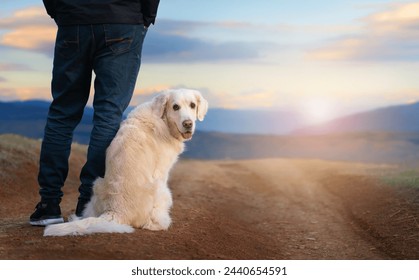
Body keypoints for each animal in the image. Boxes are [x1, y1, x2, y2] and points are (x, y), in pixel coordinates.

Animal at [44, 88, 208, 235]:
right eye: (175, 107)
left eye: (192, 105)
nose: (188, 124)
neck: (162, 118)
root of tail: (114, 211)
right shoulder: (162, 172)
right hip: (162, 190)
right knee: (150, 222)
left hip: (97, 184)